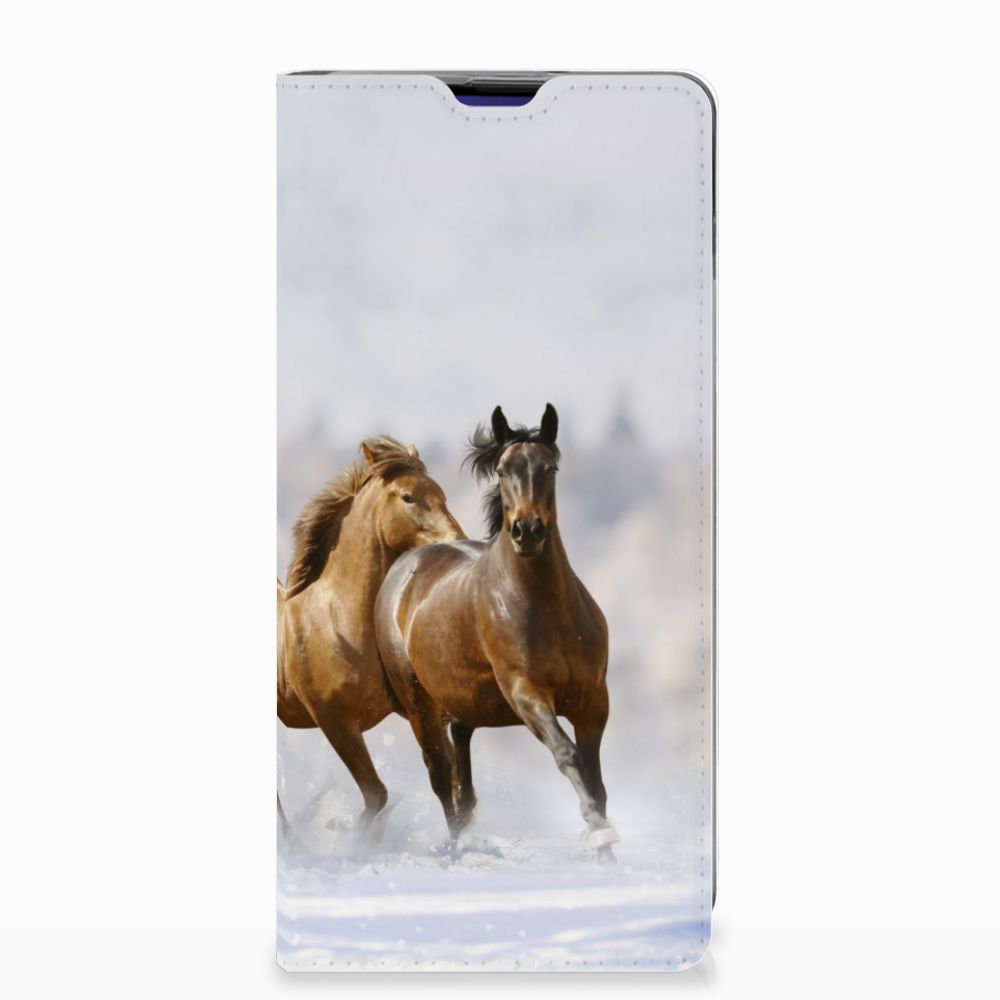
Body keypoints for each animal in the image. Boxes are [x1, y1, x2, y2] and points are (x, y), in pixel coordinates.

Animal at [277, 436, 465, 833]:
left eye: (441, 493)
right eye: (408, 497)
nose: (457, 541)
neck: (336, 621)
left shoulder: (419, 709)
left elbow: (447, 776)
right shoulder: (335, 721)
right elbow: (377, 794)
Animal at [374, 405, 618, 859]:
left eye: (550, 468)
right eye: (503, 470)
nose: (527, 531)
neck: (547, 610)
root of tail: (404, 567)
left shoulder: (593, 700)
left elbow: (596, 779)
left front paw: (607, 851)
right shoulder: (526, 693)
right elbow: (568, 755)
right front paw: (598, 832)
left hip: (463, 705)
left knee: (462, 779)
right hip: (419, 705)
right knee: (441, 776)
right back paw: (455, 850)